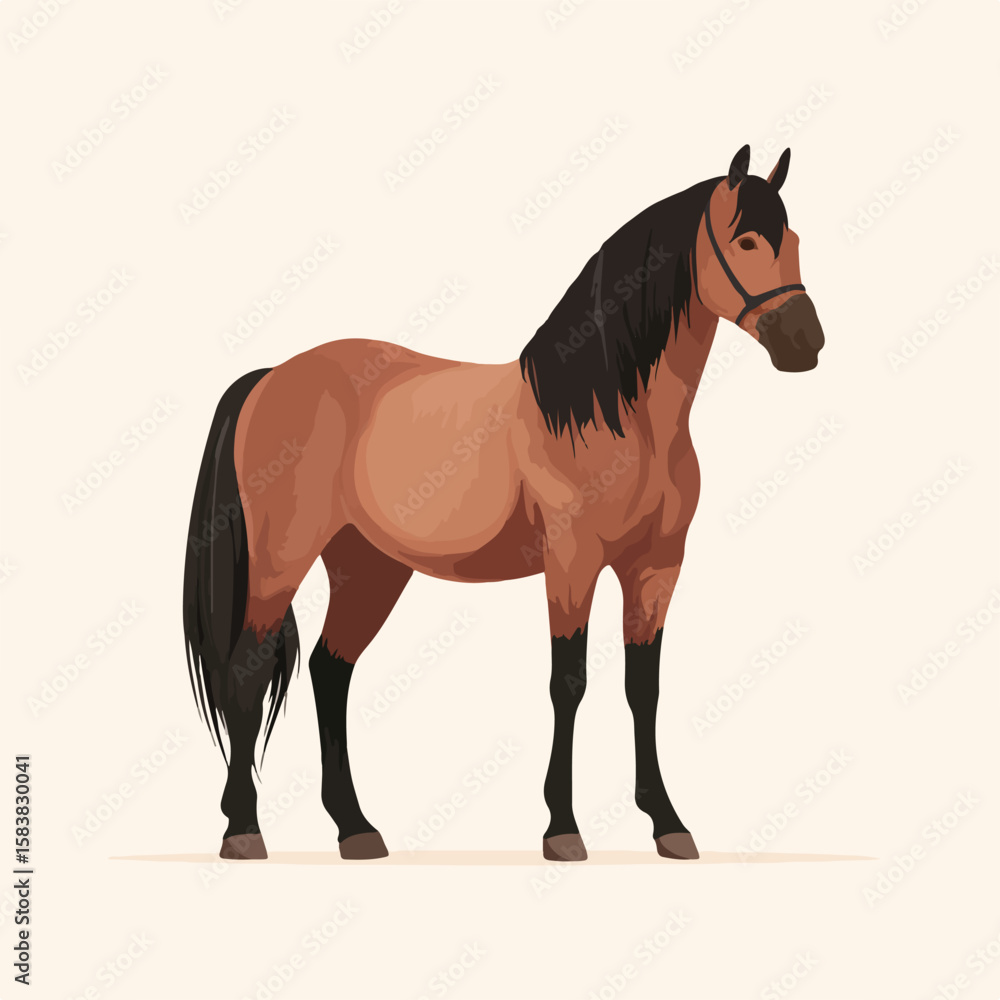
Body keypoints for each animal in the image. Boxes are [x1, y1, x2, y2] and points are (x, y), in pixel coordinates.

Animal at [183, 144, 825, 863]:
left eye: (795, 240)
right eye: (746, 240)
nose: (805, 342)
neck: (617, 412)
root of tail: (270, 376)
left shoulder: (656, 568)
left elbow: (644, 687)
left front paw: (668, 823)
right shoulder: (571, 563)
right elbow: (568, 683)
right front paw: (562, 828)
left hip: (369, 567)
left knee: (330, 670)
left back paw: (356, 828)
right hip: (279, 562)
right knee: (247, 671)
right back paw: (243, 830)